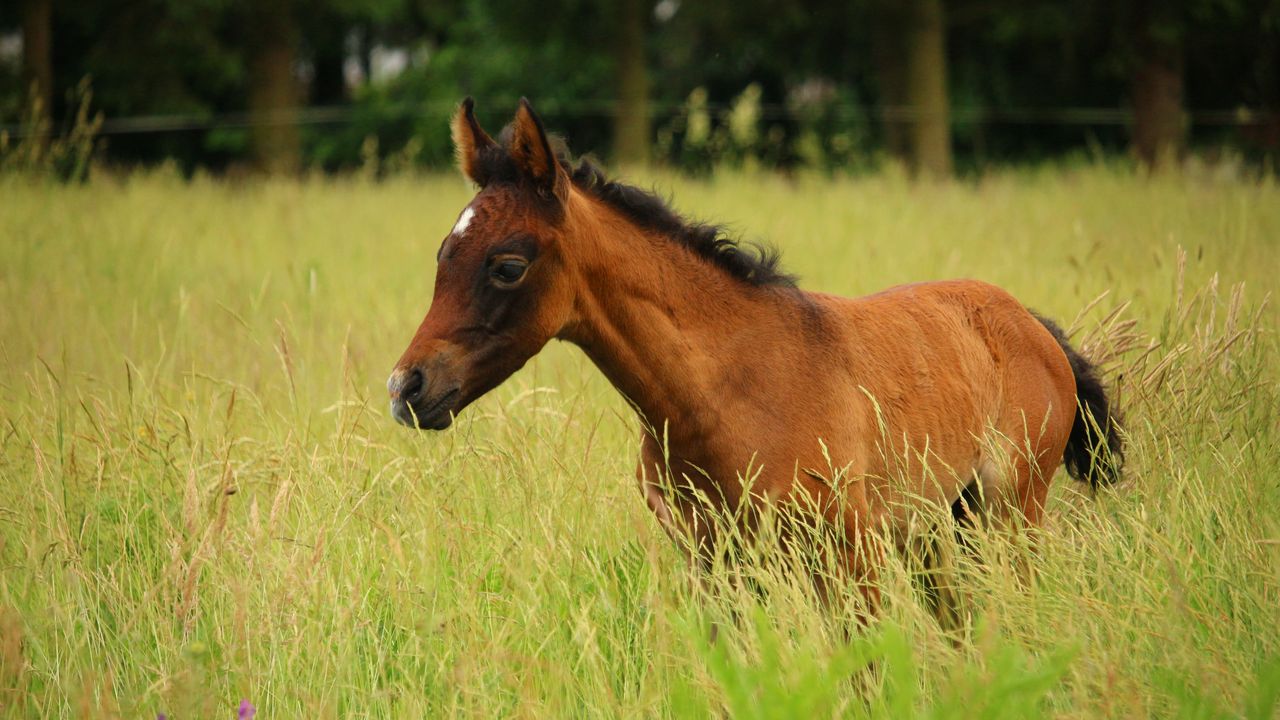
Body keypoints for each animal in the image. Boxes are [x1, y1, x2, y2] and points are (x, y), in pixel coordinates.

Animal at [386, 98, 1121, 607]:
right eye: (443, 254)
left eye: (508, 266)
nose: (407, 388)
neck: (720, 394)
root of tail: (1032, 325)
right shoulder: (716, 565)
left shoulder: (849, 554)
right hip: (943, 533)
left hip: (1009, 518)